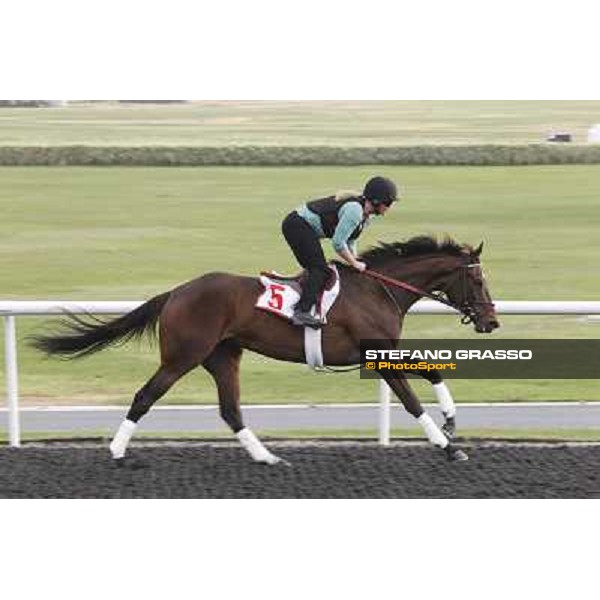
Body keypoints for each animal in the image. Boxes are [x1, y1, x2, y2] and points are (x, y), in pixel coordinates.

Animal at [29, 234, 496, 464]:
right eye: (477, 280)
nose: (492, 321)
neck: (376, 290)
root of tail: (177, 291)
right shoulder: (375, 356)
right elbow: (412, 402)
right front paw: (449, 447)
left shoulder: (381, 353)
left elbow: (432, 371)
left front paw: (451, 420)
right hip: (183, 356)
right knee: (145, 396)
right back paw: (117, 452)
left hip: (222, 356)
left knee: (230, 411)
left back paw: (267, 457)